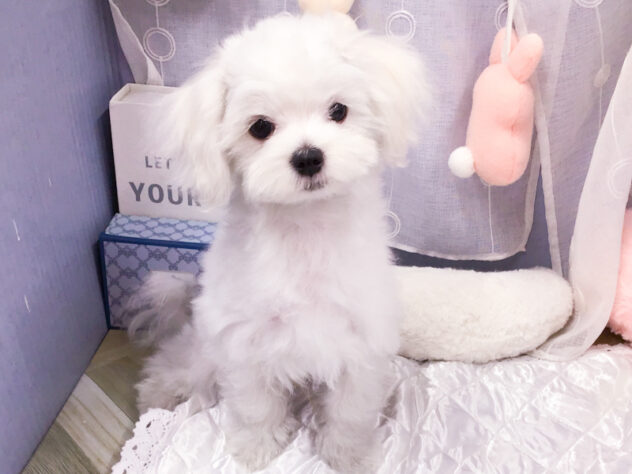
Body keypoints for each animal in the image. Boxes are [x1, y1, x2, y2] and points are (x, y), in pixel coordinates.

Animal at [128, 11, 427, 473]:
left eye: (338, 110)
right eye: (260, 128)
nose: (308, 157)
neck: (304, 229)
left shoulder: (361, 340)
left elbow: (351, 412)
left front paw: (349, 455)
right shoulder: (244, 340)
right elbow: (254, 404)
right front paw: (257, 447)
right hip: (203, 347)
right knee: (181, 360)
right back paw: (158, 391)